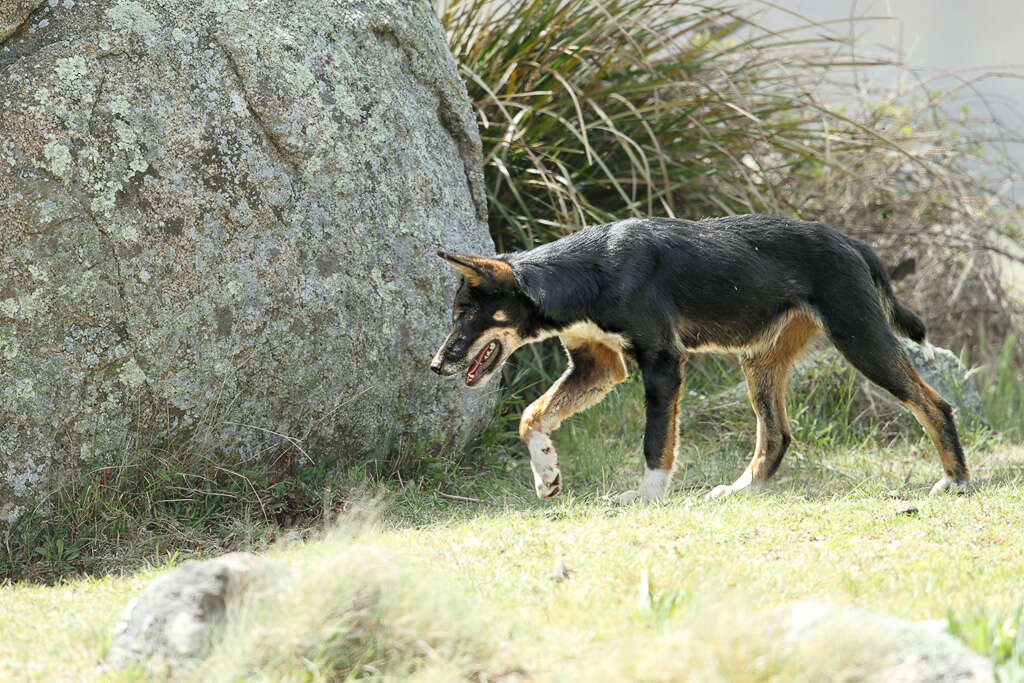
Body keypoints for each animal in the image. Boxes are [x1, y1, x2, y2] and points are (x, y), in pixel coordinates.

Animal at [430, 216, 966, 505]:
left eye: (465, 314)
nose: (436, 365)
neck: (593, 270)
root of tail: (851, 242)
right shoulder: (598, 367)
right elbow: (531, 416)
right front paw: (546, 471)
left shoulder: (662, 362)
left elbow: (655, 442)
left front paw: (648, 496)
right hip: (760, 363)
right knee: (777, 435)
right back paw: (742, 489)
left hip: (862, 341)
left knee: (935, 405)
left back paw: (955, 480)